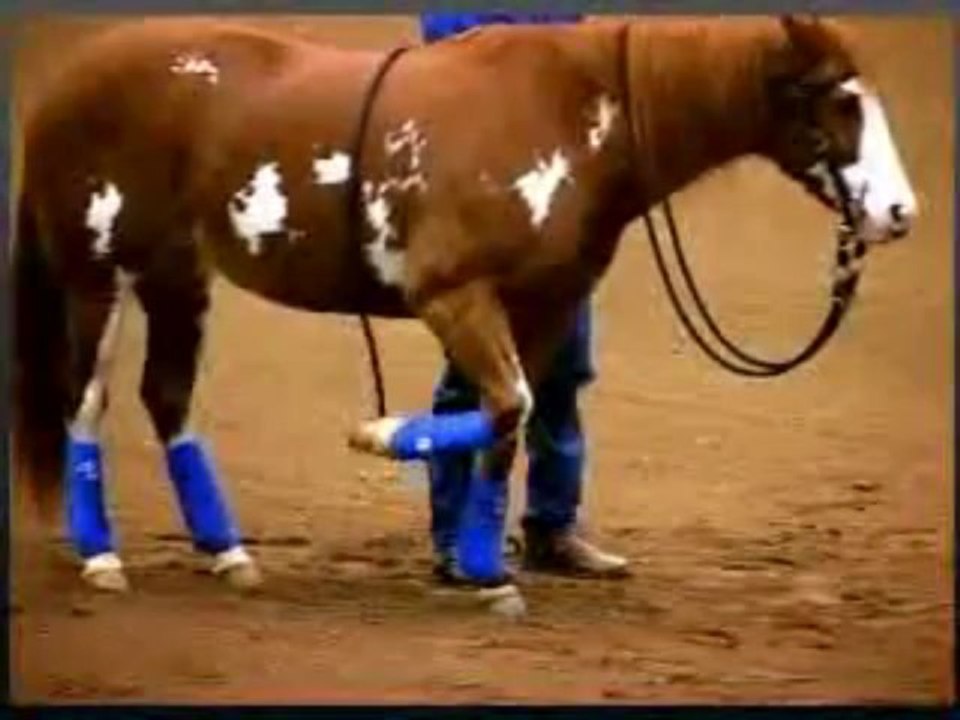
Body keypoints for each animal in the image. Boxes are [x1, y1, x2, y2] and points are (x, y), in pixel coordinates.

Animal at [13, 15, 916, 607]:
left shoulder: (543, 306)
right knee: (85, 405)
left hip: (177, 278)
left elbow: (512, 421)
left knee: (166, 400)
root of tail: (69, 83)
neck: (568, 115)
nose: (899, 212)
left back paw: (227, 552)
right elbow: (503, 406)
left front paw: (481, 563)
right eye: (840, 101)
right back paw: (102, 558)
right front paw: (390, 444)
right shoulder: (453, 296)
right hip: (98, 278)